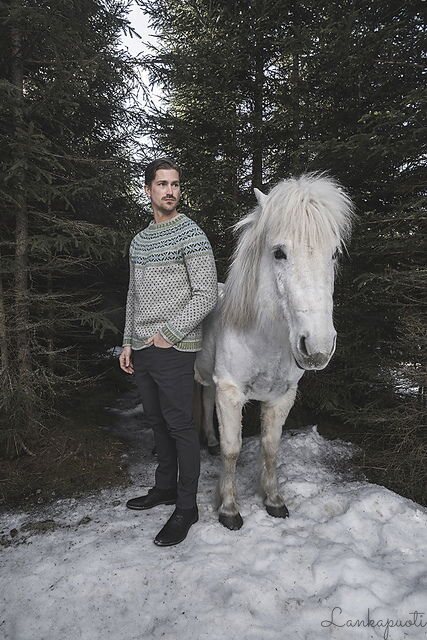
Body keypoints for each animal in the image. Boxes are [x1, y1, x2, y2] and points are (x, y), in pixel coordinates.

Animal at [194, 172, 354, 530]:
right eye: (279, 253)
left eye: (334, 254)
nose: (318, 347)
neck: (263, 339)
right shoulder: (230, 392)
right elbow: (232, 449)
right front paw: (228, 509)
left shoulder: (282, 397)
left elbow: (270, 447)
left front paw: (274, 500)